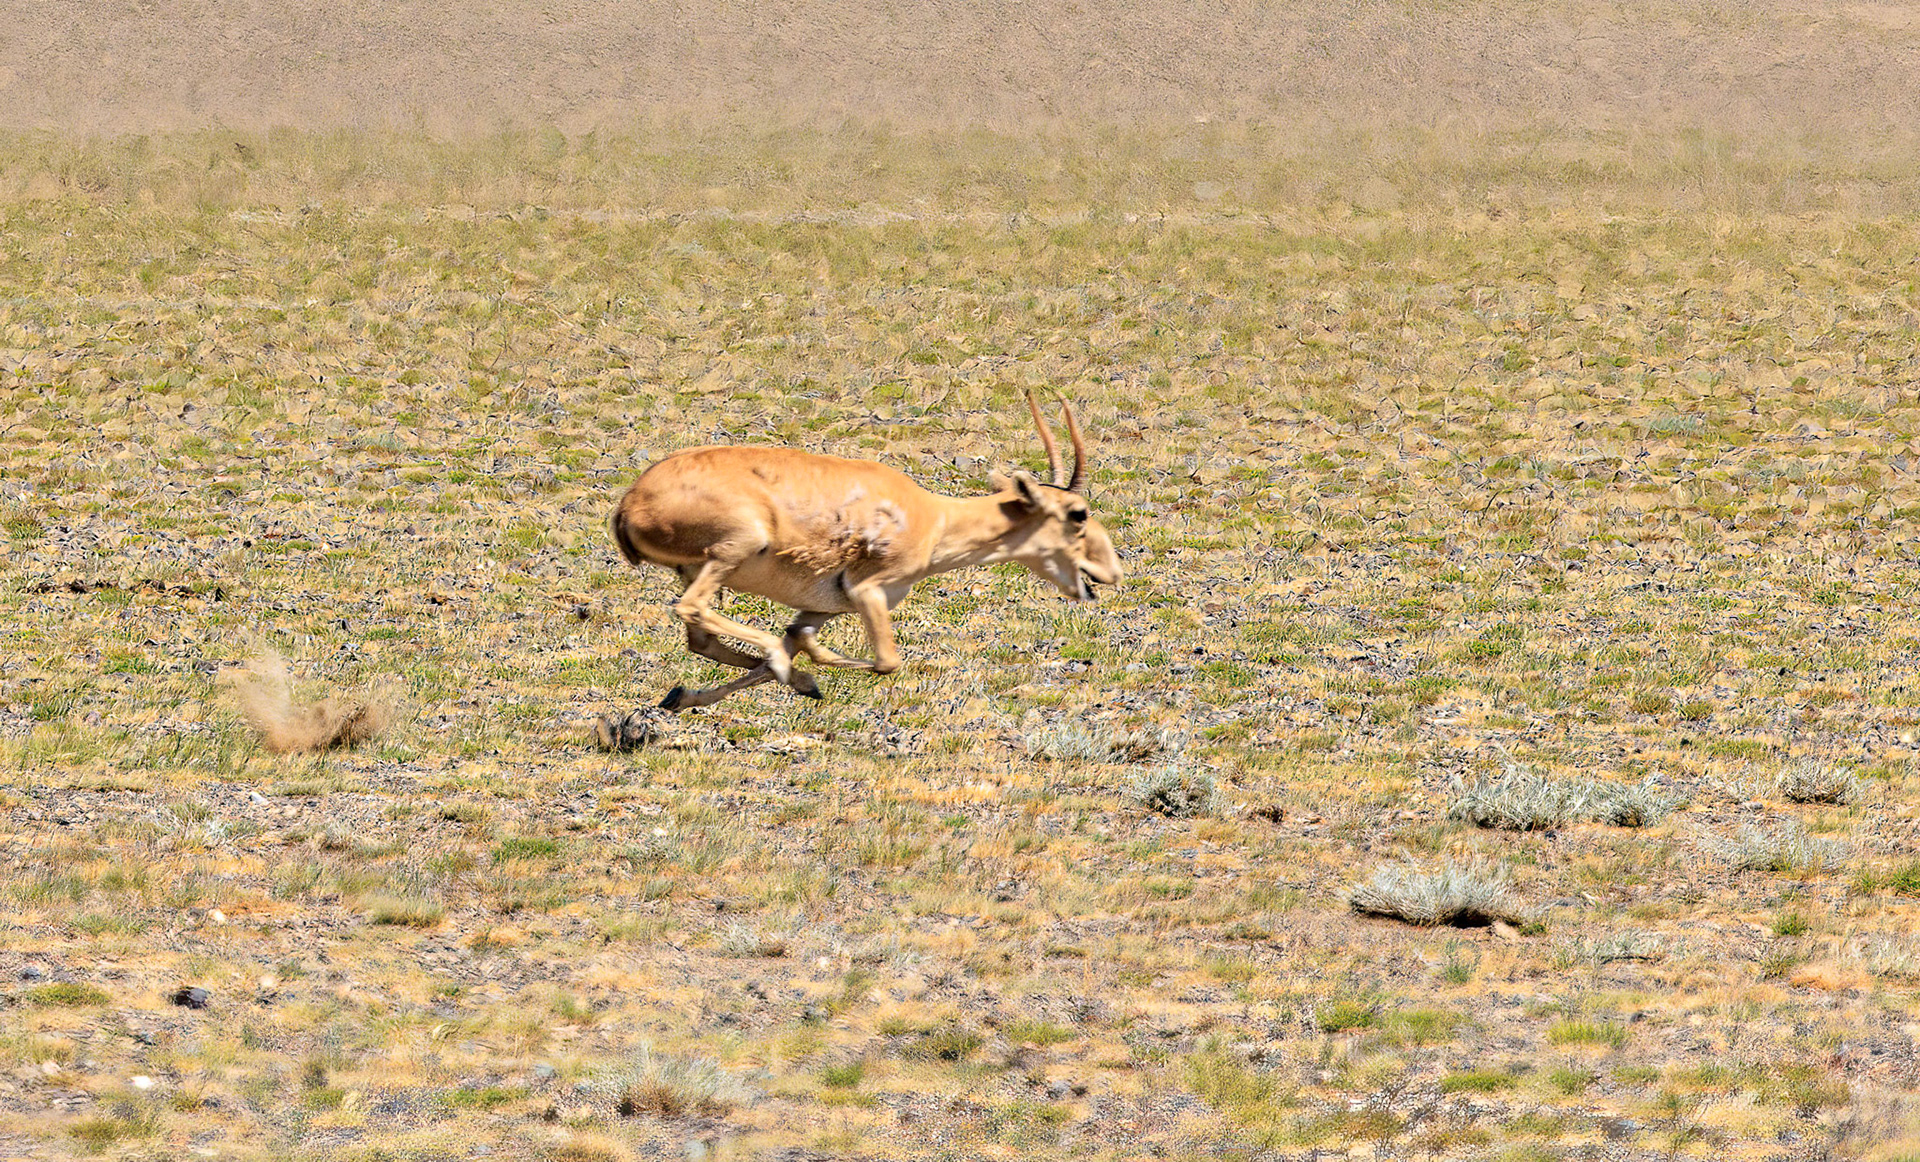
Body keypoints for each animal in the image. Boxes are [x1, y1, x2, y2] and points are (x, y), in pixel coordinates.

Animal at [610, 391, 1122, 710]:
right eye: (1078, 514)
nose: (1111, 572)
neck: (933, 516)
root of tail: (630, 502)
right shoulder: (868, 593)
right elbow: (885, 662)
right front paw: (807, 673)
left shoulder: (820, 609)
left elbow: (800, 642)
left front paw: (684, 698)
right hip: (733, 550)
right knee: (694, 610)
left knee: (702, 639)